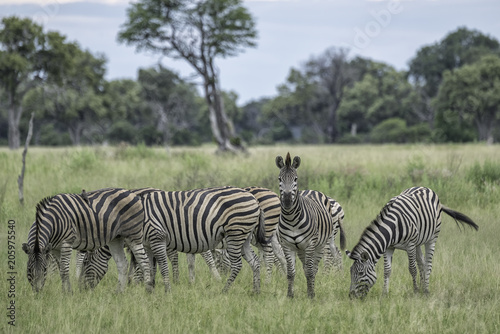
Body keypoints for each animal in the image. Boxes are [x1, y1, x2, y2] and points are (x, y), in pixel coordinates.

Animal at [22, 188, 150, 292]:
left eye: (44, 269)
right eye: (29, 269)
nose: (37, 291)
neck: (54, 220)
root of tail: (133, 194)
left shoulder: (67, 242)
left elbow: (64, 270)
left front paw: (67, 294)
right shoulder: (54, 248)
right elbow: (61, 269)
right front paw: (66, 291)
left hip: (133, 236)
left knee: (145, 262)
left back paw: (148, 290)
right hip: (116, 239)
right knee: (122, 264)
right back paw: (119, 293)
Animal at [274, 153, 340, 298]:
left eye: (295, 179)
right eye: (279, 178)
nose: (287, 201)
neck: (291, 219)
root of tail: (311, 190)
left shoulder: (310, 244)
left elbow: (310, 271)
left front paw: (310, 295)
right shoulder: (287, 246)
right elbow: (291, 272)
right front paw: (290, 295)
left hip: (320, 245)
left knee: (313, 268)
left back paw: (312, 291)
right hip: (300, 249)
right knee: (305, 267)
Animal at [346, 187, 478, 298]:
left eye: (361, 273)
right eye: (350, 272)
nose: (351, 296)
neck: (392, 227)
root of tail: (425, 187)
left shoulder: (410, 245)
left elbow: (412, 268)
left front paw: (415, 291)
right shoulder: (389, 247)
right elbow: (387, 270)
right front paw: (385, 293)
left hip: (432, 238)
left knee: (428, 264)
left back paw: (425, 290)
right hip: (418, 242)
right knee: (422, 263)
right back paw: (423, 286)